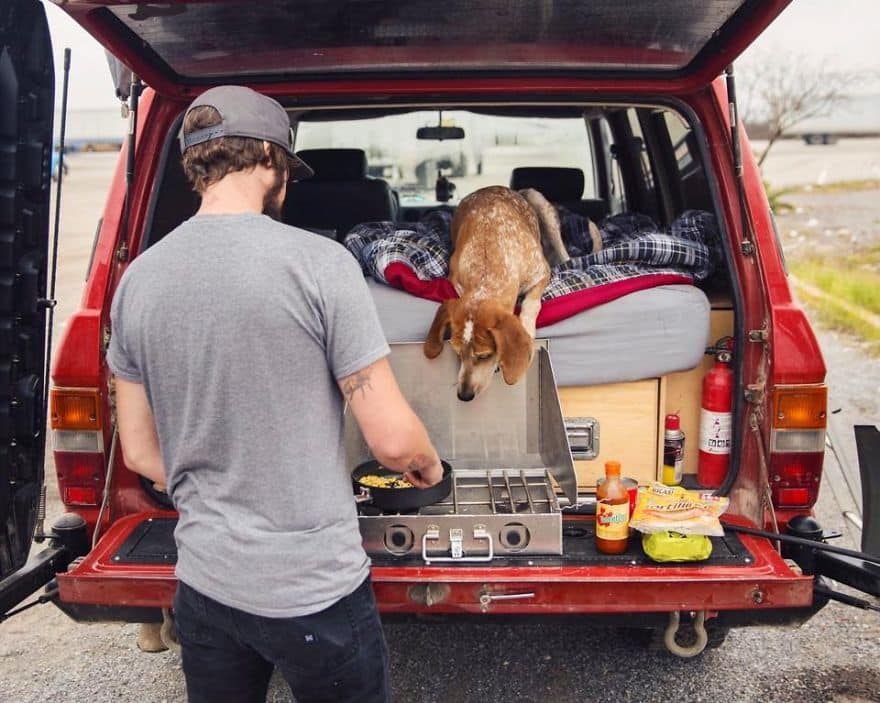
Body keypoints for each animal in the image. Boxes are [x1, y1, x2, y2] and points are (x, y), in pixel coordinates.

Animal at [422, 186, 568, 402]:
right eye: (457, 352)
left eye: (484, 356)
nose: (464, 396)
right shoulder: (455, 279)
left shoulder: (542, 273)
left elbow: (531, 304)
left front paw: (527, 329)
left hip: (539, 203)